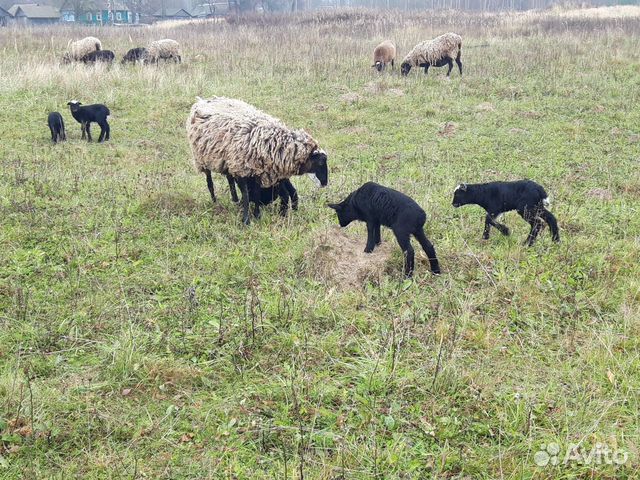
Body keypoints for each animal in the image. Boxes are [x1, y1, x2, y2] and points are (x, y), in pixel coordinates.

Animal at [184, 97, 324, 227]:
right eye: (321, 163)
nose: (324, 183)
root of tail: (203, 100)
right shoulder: (243, 169)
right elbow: (247, 194)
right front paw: (247, 219)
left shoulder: (255, 170)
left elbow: (255, 193)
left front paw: (256, 214)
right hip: (202, 160)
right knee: (210, 182)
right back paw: (215, 201)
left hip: (227, 161)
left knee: (229, 179)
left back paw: (235, 200)